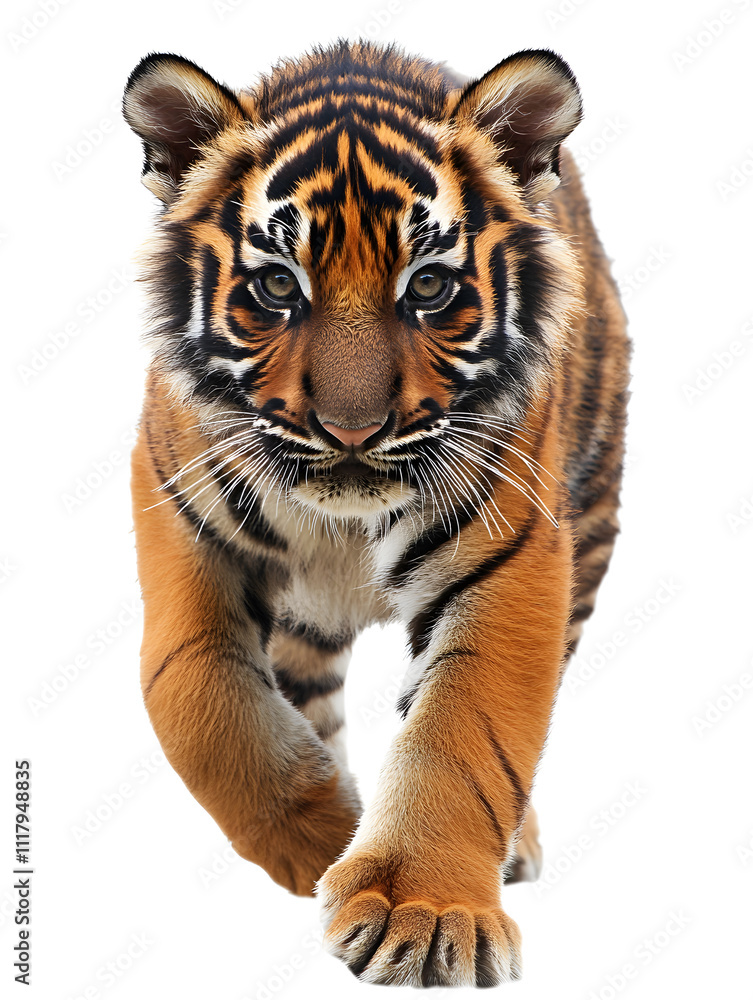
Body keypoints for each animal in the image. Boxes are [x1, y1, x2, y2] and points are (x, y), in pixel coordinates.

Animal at [123, 40, 629, 988]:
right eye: (275, 286)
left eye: (426, 285)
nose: (351, 429)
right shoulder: (179, 510)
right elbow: (196, 694)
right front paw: (326, 836)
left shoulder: (509, 556)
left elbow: (464, 731)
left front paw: (422, 914)